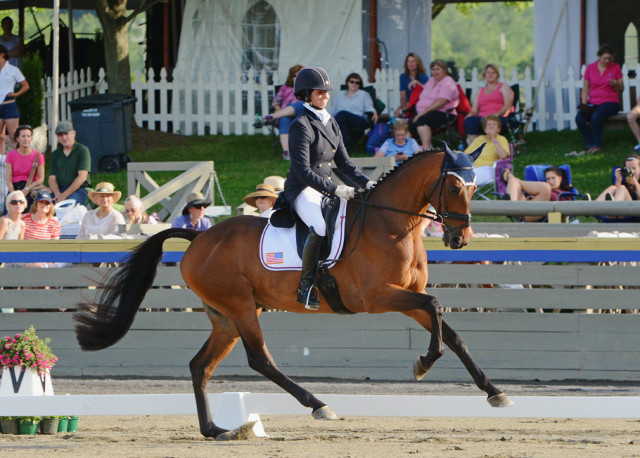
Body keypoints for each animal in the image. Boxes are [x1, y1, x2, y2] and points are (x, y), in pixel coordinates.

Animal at [74, 147, 516, 440]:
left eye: (474, 187)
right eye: (455, 186)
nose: (459, 239)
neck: (389, 224)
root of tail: (199, 237)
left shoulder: (406, 297)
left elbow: (450, 330)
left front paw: (494, 392)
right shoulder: (378, 298)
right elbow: (436, 307)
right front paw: (423, 364)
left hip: (226, 316)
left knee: (201, 365)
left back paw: (215, 429)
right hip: (240, 307)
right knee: (259, 359)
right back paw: (318, 406)